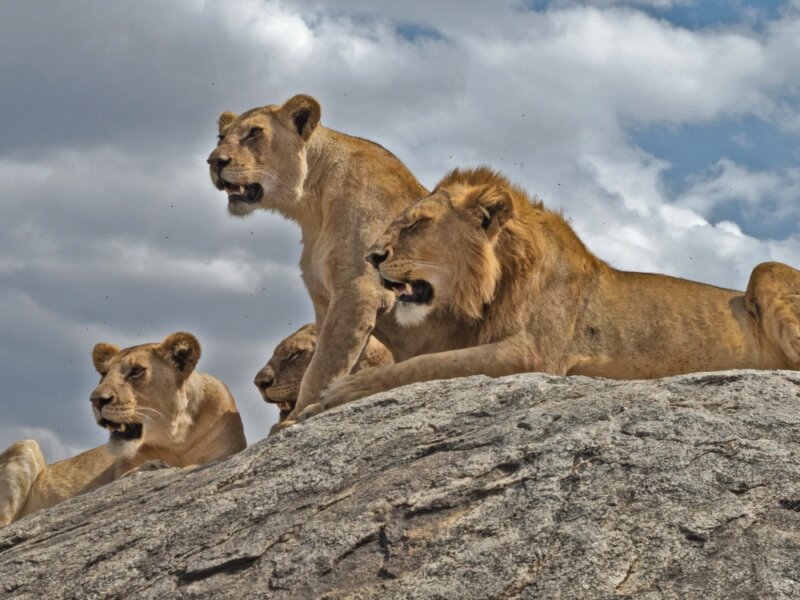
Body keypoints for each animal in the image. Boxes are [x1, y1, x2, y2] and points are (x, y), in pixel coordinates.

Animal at [0, 332, 246, 526]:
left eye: (136, 371)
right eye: (103, 374)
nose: (96, 400)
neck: (178, 438)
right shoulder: (117, 473)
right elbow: (124, 478)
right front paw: (153, 466)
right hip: (26, 445)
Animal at [208, 94, 464, 422]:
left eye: (254, 132)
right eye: (221, 138)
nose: (214, 162)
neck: (311, 205)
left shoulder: (359, 289)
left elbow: (323, 364)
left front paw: (300, 415)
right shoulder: (323, 297)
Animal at [310, 166, 800, 412]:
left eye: (416, 224)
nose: (372, 256)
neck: (495, 284)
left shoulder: (534, 353)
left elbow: (425, 367)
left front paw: (335, 395)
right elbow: (419, 357)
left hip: (767, 269)